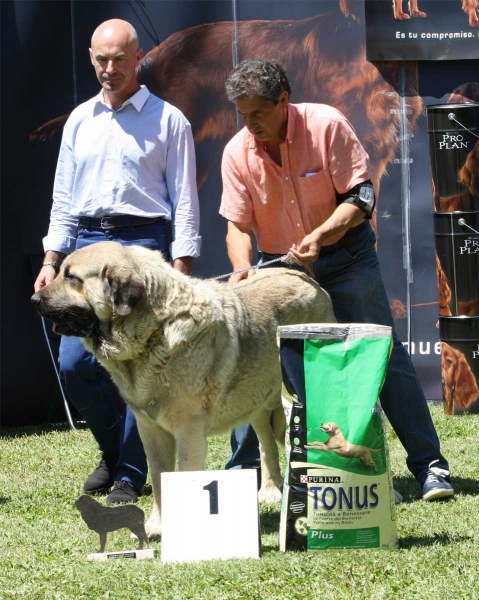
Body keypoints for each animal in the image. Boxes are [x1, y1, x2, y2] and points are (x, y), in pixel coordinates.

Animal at [31, 241, 338, 536]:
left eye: (71, 277)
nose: (34, 299)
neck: (155, 329)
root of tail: (307, 279)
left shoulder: (188, 432)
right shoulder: (151, 431)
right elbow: (159, 481)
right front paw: (156, 526)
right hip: (257, 403)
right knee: (266, 446)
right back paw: (271, 492)